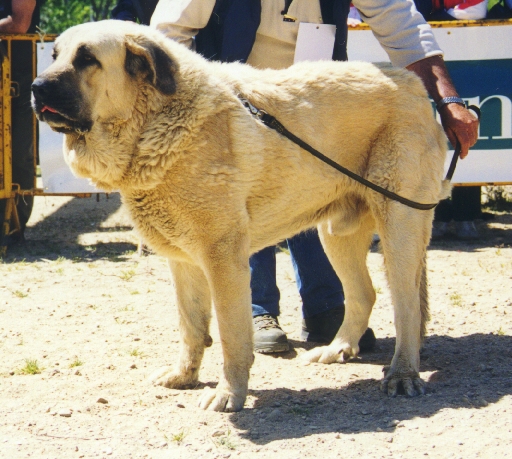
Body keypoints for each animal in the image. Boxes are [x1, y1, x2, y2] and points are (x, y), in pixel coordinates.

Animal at [31, 19, 448, 412]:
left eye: (87, 59)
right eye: (54, 55)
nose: (36, 87)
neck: (155, 122)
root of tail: (414, 84)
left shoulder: (223, 259)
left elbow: (231, 334)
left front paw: (228, 393)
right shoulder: (183, 262)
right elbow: (191, 326)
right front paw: (184, 375)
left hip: (400, 226)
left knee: (407, 305)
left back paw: (402, 374)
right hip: (337, 235)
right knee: (364, 294)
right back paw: (337, 348)